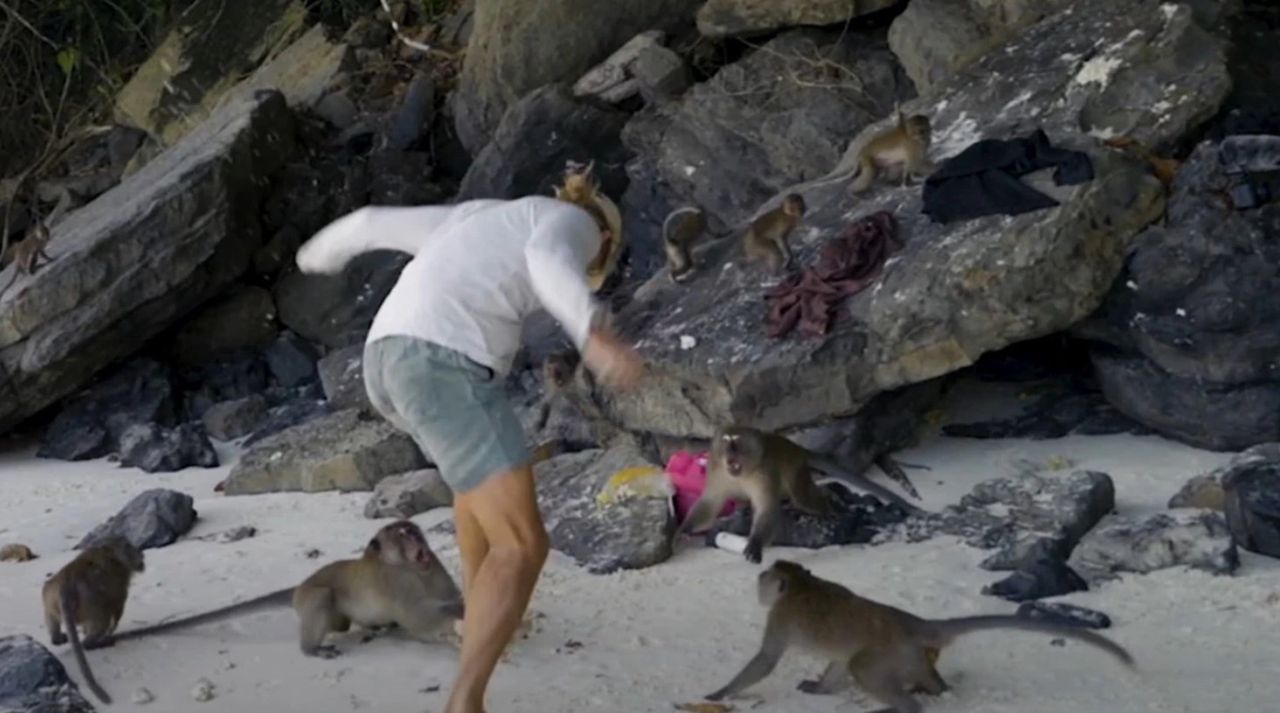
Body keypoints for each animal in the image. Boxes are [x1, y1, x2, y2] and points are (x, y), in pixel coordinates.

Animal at [41, 532, 147, 701]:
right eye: (130, 547)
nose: (142, 554)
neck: (111, 552)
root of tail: (66, 581)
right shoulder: (120, 582)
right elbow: (118, 605)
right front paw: (111, 630)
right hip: (91, 602)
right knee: (102, 619)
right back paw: (95, 642)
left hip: (49, 598)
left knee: (52, 619)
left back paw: (58, 638)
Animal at [110, 519, 460, 660]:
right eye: (401, 533)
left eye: (412, 529)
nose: (415, 535)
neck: (412, 569)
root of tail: (299, 586)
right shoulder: (396, 582)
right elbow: (419, 617)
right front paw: (460, 611)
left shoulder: (434, 568)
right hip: (310, 597)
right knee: (322, 598)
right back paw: (312, 649)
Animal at [675, 424, 926, 563]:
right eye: (726, 440)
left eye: (737, 441)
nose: (730, 451)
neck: (742, 472)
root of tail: (797, 448)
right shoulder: (717, 471)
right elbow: (711, 502)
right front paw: (684, 529)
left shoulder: (765, 474)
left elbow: (767, 508)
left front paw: (754, 544)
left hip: (795, 471)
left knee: (804, 498)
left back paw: (829, 508)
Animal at [706, 558, 1136, 706]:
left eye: (766, 576)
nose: (758, 578)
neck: (800, 585)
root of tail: (911, 623)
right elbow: (836, 663)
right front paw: (820, 688)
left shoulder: (779, 617)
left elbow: (765, 661)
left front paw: (720, 692)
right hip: (909, 655)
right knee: (868, 665)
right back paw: (936, 689)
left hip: (887, 653)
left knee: (862, 667)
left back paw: (908, 705)